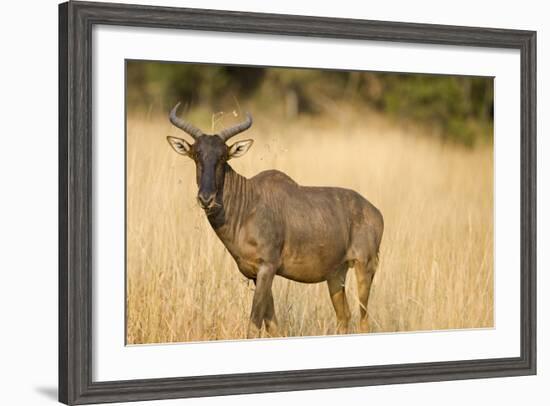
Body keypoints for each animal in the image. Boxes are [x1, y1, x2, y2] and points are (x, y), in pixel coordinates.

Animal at [166, 103, 386, 338]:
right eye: (196, 154)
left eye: (224, 156)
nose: (206, 198)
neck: (248, 202)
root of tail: (376, 212)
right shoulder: (256, 274)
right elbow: (273, 326)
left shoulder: (267, 268)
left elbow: (254, 324)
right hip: (336, 274)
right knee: (344, 316)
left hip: (365, 267)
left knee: (363, 319)